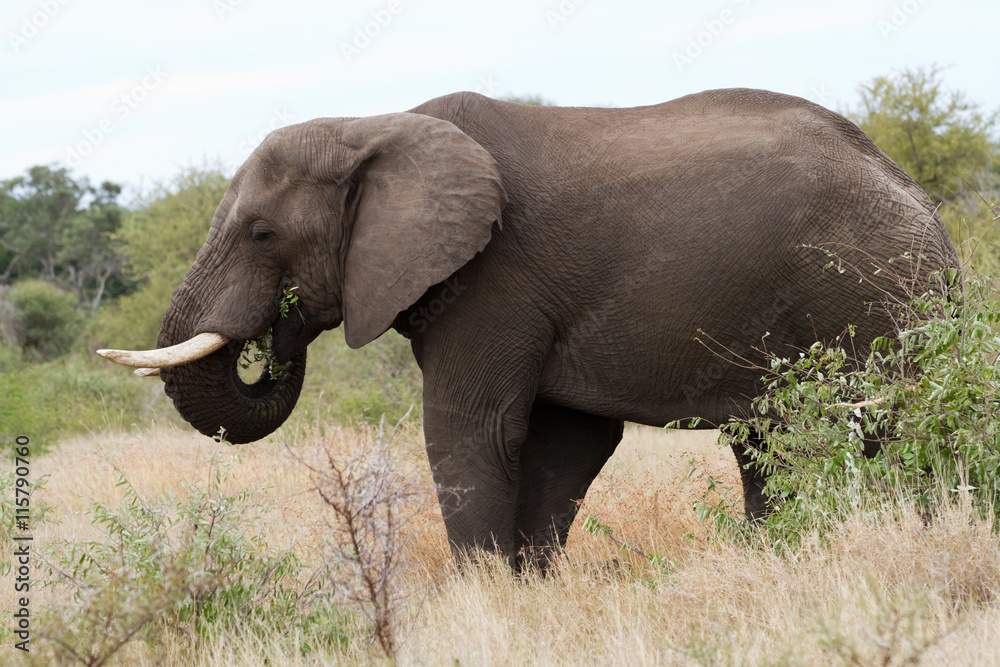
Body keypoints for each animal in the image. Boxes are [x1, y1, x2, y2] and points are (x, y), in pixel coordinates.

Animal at [98, 88, 957, 568]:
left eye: (261, 234)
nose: (276, 337)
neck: (375, 125)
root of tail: (916, 194)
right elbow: (564, 446)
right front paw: (529, 587)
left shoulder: (495, 277)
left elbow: (472, 429)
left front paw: (480, 595)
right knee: (769, 444)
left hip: (881, 290)